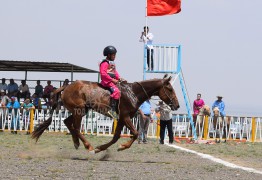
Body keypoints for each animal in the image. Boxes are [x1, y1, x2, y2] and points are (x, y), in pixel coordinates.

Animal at [30, 74, 178, 153]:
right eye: (170, 89)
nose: (177, 105)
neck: (133, 93)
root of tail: (66, 87)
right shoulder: (125, 117)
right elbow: (136, 133)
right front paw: (123, 146)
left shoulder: (122, 119)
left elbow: (116, 137)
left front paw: (101, 148)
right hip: (79, 111)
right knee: (76, 128)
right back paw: (87, 146)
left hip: (81, 111)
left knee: (67, 122)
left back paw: (77, 143)